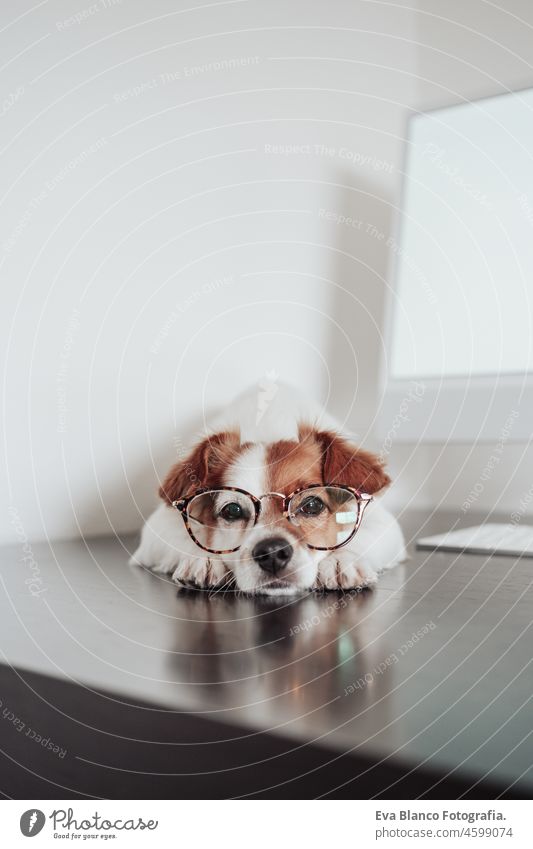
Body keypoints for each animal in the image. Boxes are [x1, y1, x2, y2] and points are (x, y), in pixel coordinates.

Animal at [131, 380, 406, 592]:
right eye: (232, 510)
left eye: (312, 505)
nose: (272, 553)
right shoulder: (158, 527)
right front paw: (204, 558)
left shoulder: (382, 522)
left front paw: (340, 559)